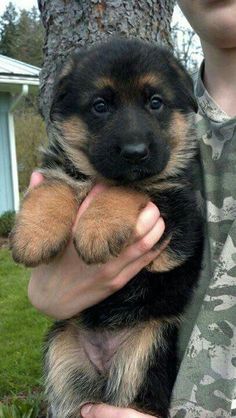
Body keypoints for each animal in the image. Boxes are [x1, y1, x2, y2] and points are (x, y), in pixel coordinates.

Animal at [10, 37, 203, 416]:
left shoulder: (181, 218)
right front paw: (33, 235)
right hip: (62, 353)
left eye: (155, 102)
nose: (135, 152)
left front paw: (97, 229)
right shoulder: (62, 167)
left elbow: (129, 187)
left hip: (144, 349)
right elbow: (56, 184)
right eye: (100, 106)